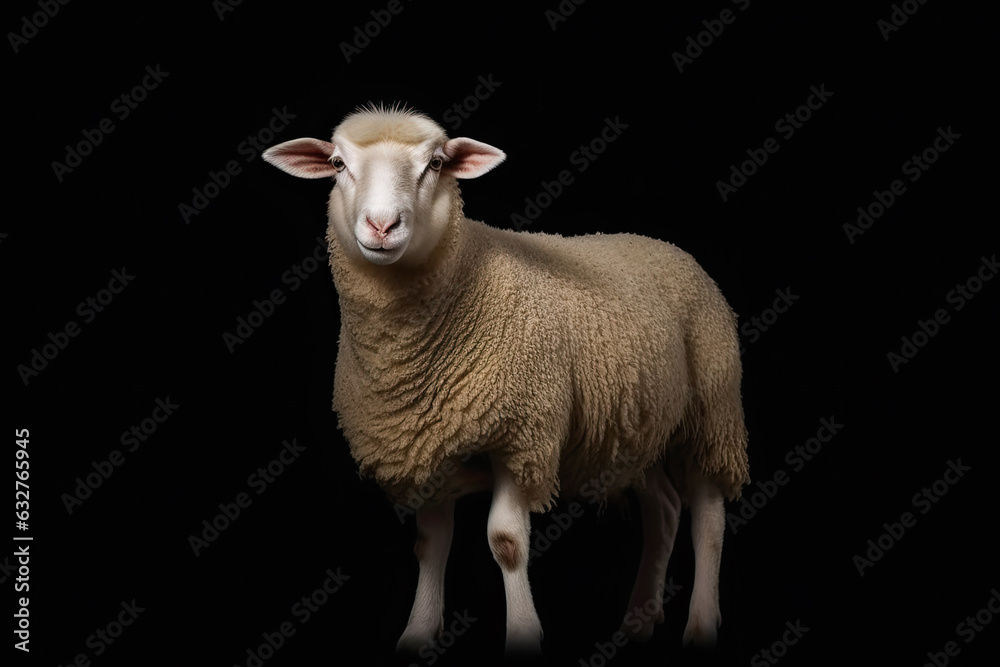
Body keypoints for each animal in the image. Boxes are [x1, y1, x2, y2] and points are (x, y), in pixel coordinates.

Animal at [262, 104, 750, 655]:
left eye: (435, 164)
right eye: (339, 164)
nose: (382, 225)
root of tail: (663, 245)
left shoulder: (522, 435)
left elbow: (507, 543)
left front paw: (522, 635)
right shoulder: (427, 442)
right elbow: (429, 544)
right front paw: (418, 631)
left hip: (712, 408)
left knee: (708, 515)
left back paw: (701, 625)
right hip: (636, 427)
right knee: (664, 511)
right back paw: (640, 619)